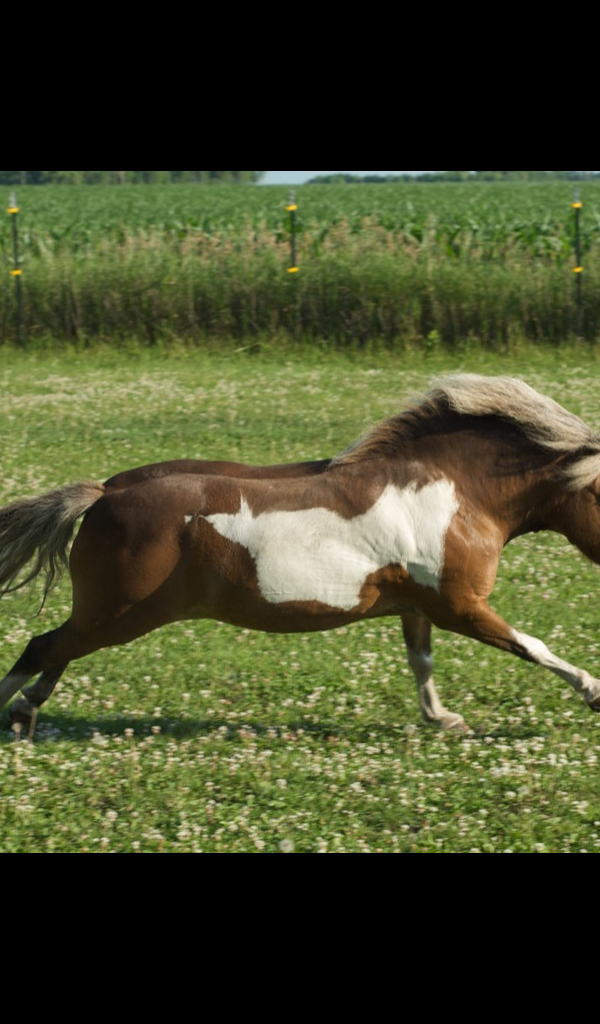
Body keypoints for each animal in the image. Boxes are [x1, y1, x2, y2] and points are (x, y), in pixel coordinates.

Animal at [2, 372, 600, 737]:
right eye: (598, 492)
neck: (455, 491)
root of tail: (105, 493)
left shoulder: (418, 607)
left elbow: (422, 662)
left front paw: (442, 718)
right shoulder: (460, 606)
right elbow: (533, 646)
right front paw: (593, 691)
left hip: (106, 615)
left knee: (59, 650)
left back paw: (26, 710)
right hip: (121, 614)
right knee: (43, 646)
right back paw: (16, 708)